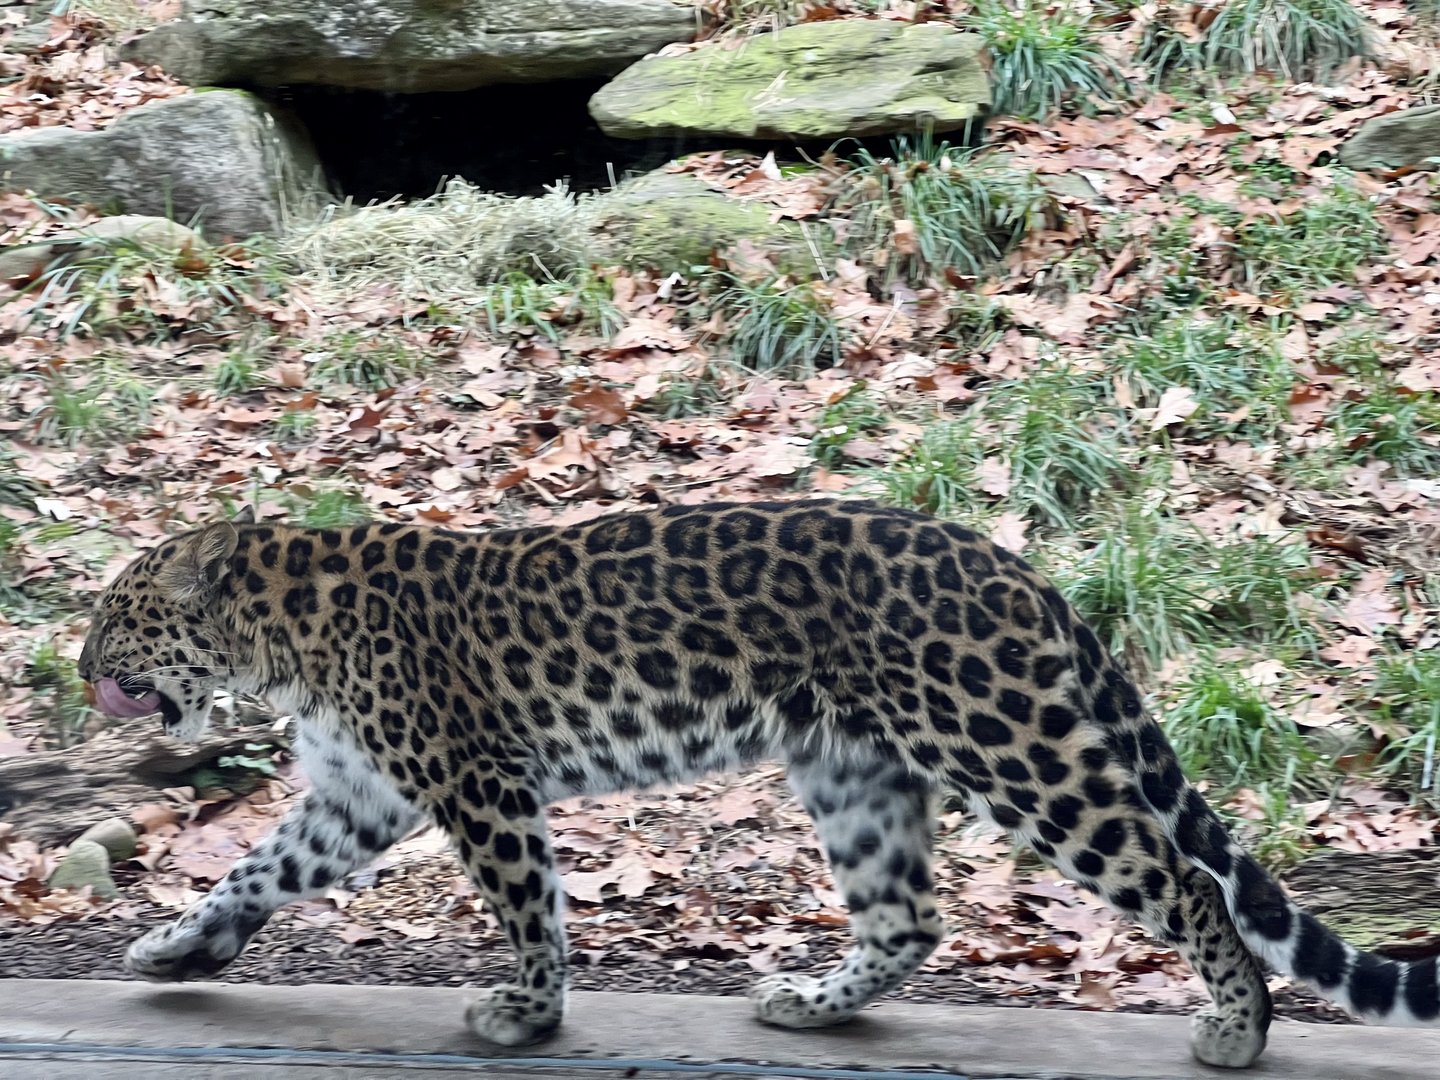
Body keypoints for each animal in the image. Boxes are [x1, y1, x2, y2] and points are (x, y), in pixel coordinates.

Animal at [77, 498, 1438, 1068]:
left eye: (120, 615)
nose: (81, 667)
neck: (280, 633)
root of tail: (1014, 564)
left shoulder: (474, 778)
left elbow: (529, 904)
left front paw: (528, 1015)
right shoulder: (361, 793)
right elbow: (260, 871)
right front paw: (179, 950)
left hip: (1015, 749)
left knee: (1183, 881)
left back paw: (1237, 1031)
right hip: (854, 769)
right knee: (908, 916)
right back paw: (814, 1005)